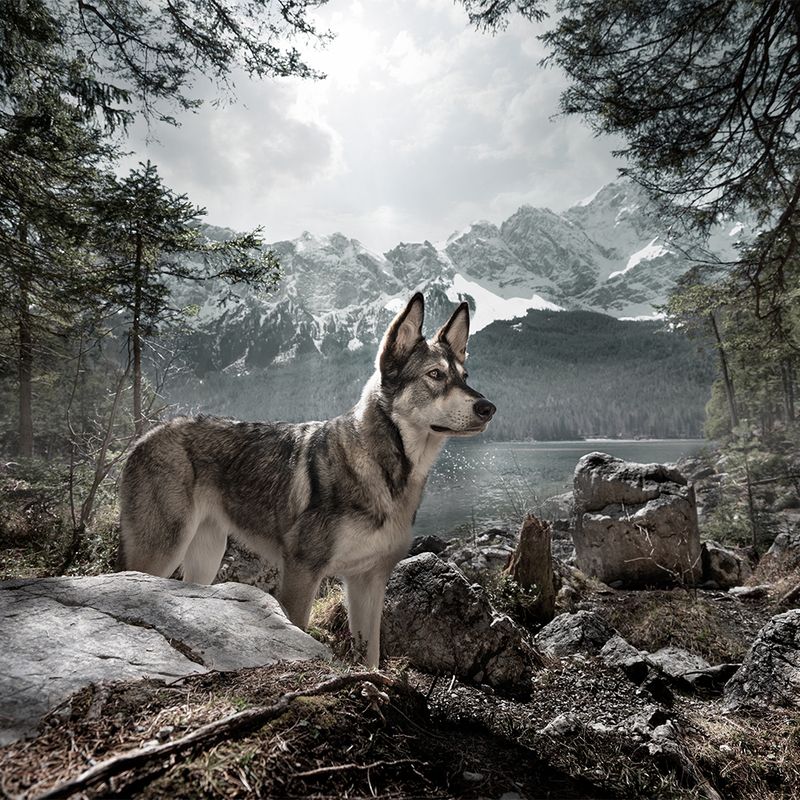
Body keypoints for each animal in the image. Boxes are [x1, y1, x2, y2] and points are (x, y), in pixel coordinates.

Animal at [118, 293, 496, 667]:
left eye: (465, 376)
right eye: (435, 375)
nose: (488, 408)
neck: (386, 471)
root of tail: (143, 438)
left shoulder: (368, 581)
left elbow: (371, 656)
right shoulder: (301, 573)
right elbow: (299, 632)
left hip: (205, 558)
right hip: (161, 553)